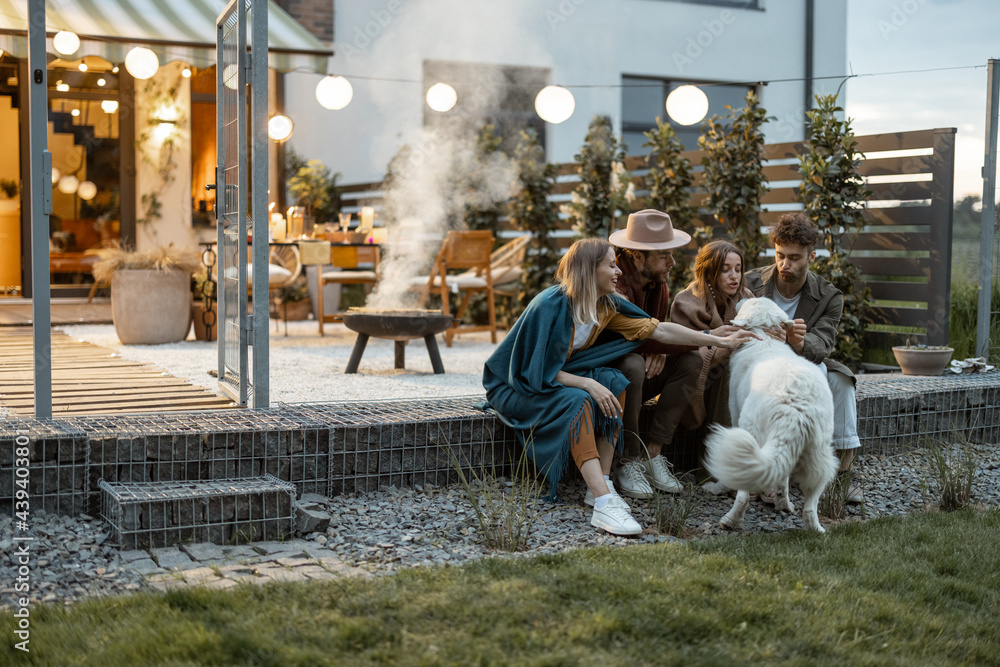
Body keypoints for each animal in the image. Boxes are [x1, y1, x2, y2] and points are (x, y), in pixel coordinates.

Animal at [708, 298, 840, 532]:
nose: (741, 297)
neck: (766, 338)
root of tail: (795, 408)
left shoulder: (734, 411)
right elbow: (783, 480)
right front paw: (783, 502)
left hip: (749, 433)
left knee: (743, 494)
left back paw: (730, 521)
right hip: (820, 454)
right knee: (810, 504)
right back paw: (813, 526)